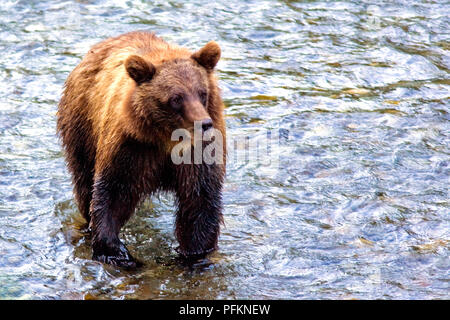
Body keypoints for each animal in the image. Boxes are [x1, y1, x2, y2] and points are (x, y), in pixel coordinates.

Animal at [57, 31, 225, 268]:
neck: (167, 139)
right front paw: (116, 253)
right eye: (176, 98)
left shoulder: (199, 153)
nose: (204, 123)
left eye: (202, 92)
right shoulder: (132, 147)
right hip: (82, 125)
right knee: (84, 181)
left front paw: (194, 255)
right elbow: (113, 193)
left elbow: (200, 200)